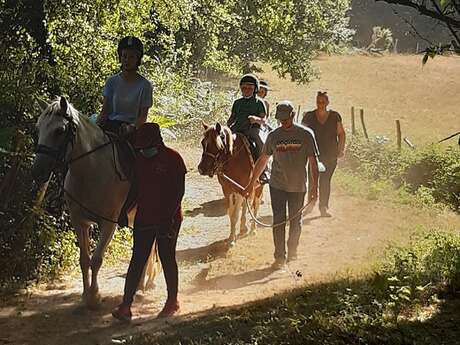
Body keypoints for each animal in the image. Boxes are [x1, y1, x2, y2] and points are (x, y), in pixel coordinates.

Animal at [32, 96, 158, 306]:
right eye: (38, 128)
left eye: (60, 131)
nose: (38, 171)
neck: (90, 171)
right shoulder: (80, 221)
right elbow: (84, 259)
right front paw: (85, 295)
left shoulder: (108, 224)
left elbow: (97, 259)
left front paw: (94, 296)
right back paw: (142, 283)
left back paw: (143, 285)